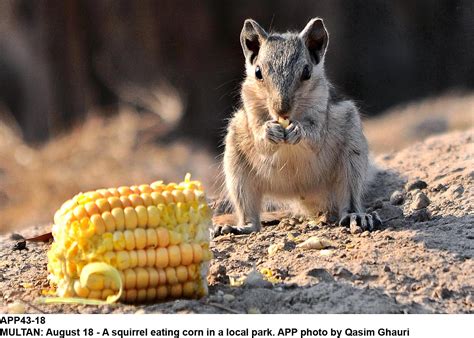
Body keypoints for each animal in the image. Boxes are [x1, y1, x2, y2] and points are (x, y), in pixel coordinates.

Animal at [217, 17, 384, 235]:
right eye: (258, 72)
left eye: (306, 72)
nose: (281, 110)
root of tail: (301, 193)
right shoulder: (250, 110)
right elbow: (260, 140)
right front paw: (269, 131)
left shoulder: (321, 107)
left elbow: (315, 136)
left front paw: (298, 130)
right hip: (237, 168)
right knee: (251, 216)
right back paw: (239, 227)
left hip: (352, 158)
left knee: (349, 198)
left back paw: (356, 216)